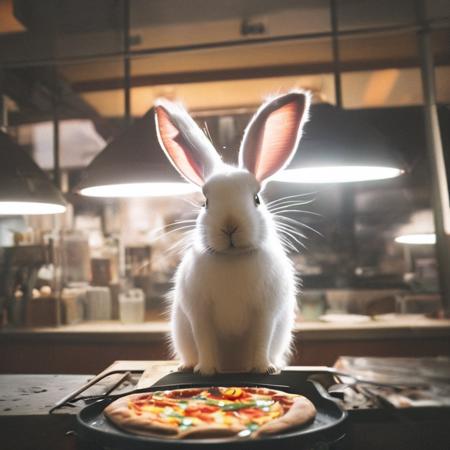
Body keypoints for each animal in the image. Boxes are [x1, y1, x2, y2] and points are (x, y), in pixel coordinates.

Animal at [155, 89, 310, 374]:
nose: (230, 226)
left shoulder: (265, 313)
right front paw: (205, 371)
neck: (232, 259)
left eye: (257, 199)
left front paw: (263, 369)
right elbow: (205, 341)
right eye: (205, 202)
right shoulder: (200, 313)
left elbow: (261, 340)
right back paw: (186, 367)